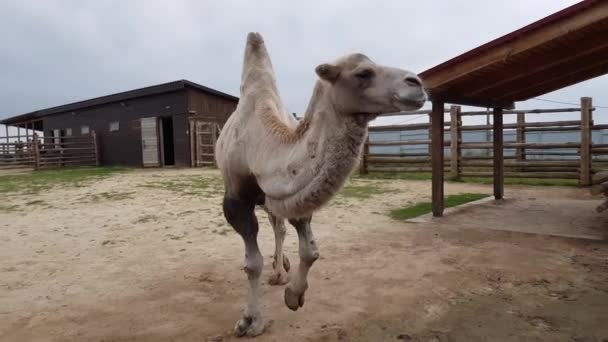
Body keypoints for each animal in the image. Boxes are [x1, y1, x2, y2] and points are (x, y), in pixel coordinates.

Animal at [215, 32, 428, 336]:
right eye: (364, 73)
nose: (417, 84)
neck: (263, 146)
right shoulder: (235, 200)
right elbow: (252, 264)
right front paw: (250, 321)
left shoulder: (295, 198)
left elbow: (310, 251)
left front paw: (293, 295)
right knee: (274, 229)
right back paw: (276, 270)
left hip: (271, 200)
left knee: (278, 227)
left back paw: (280, 271)